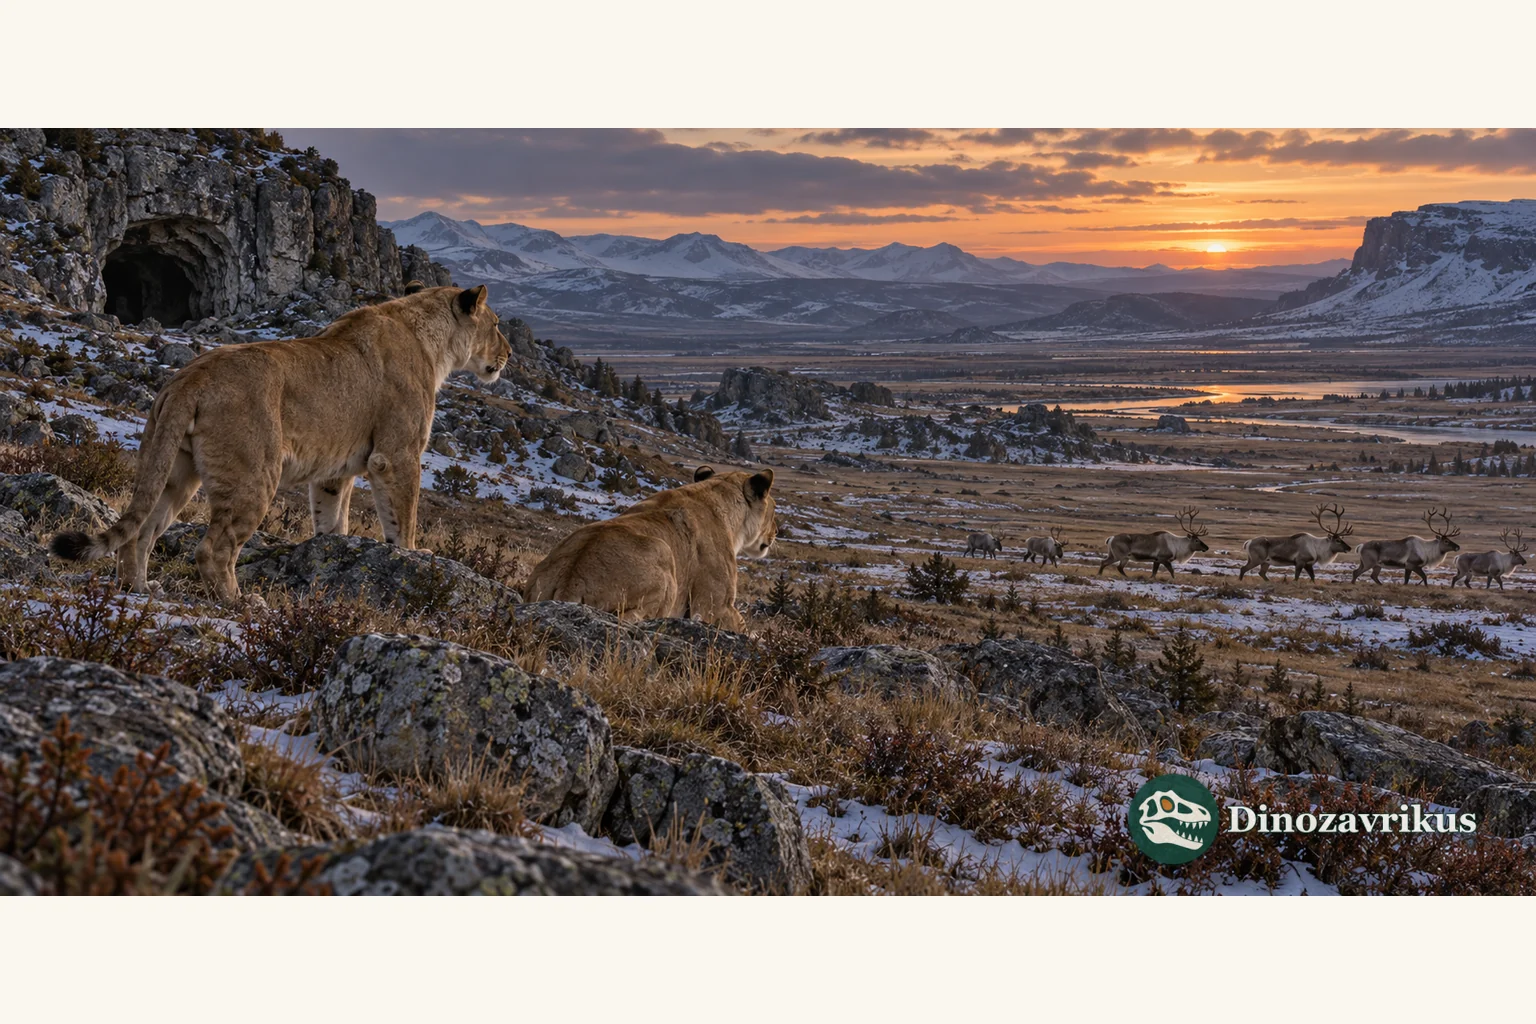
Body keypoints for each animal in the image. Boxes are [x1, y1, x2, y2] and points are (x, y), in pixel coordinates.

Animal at [50, 285, 510, 603]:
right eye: (498, 325)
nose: (507, 354)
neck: (433, 342)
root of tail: (190, 376)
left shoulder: (335, 473)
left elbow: (332, 521)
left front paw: (332, 554)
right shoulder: (396, 455)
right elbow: (404, 520)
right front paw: (413, 555)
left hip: (173, 470)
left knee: (140, 532)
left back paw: (141, 589)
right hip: (254, 475)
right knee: (213, 549)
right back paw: (240, 602)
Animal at [525, 466, 776, 629]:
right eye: (774, 510)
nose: (775, 533)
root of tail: (571, 579)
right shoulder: (713, 606)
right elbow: (745, 629)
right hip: (665, 558)